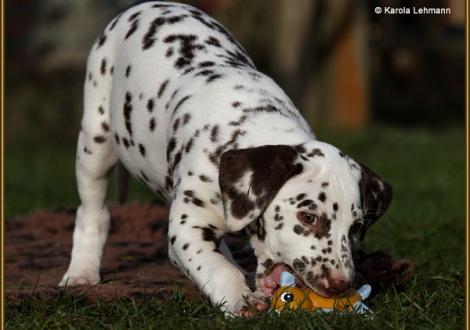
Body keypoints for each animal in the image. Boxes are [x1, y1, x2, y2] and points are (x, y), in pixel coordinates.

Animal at [61, 1, 392, 314]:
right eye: (308, 217)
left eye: (356, 228)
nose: (340, 284)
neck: (253, 124)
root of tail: (144, 5)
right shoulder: (187, 227)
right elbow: (215, 265)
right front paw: (239, 300)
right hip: (95, 141)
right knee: (93, 212)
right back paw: (81, 272)